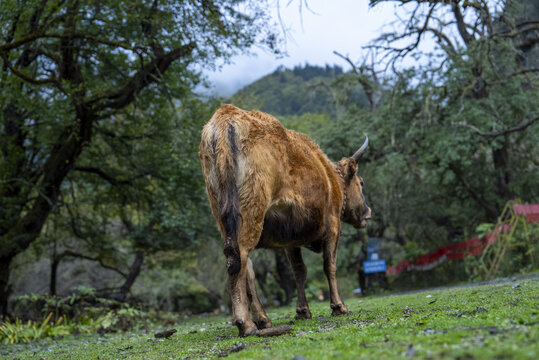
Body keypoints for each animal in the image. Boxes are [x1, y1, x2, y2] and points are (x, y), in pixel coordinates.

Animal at [198, 105, 372, 338]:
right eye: (361, 183)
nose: (367, 212)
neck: (330, 176)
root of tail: (226, 114)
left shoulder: (290, 239)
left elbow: (299, 271)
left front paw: (302, 311)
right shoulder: (333, 226)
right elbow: (330, 266)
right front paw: (339, 306)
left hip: (224, 218)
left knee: (245, 266)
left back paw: (263, 319)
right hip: (250, 212)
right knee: (240, 258)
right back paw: (246, 323)